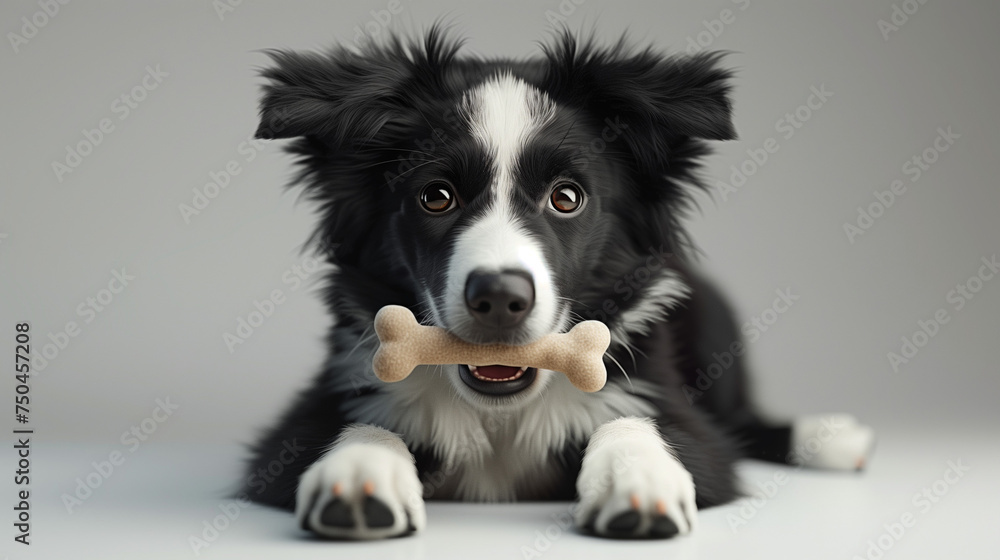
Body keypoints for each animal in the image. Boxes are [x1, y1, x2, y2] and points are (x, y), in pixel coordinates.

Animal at [244, 26, 876, 540]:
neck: (500, 416)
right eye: (435, 196)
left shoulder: (677, 414)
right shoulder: (313, 411)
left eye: (567, 197)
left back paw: (833, 436)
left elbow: (635, 421)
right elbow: (362, 426)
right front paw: (359, 474)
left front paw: (638, 481)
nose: (500, 298)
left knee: (743, 420)